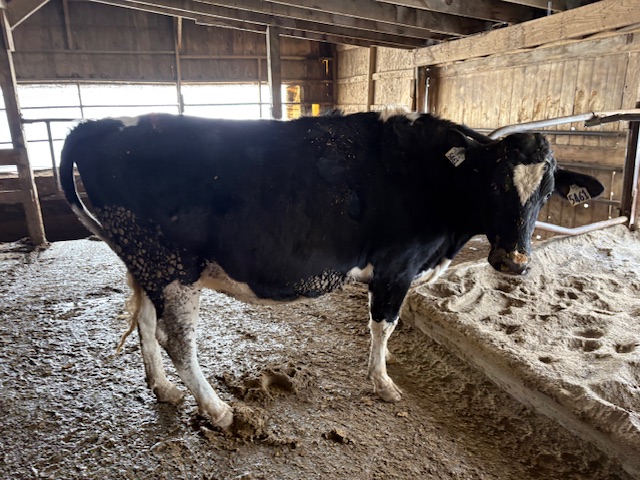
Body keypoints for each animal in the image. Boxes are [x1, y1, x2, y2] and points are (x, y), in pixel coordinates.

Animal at [59, 111, 604, 428]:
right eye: (492, 184)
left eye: (547, 190)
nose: (513, 262)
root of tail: (98, 124)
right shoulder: (396, 267)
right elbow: (383, 325)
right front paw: (382, 382)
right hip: (172, 264)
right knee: (178, 340)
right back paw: (218, 411)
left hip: (143, 261)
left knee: (146, 323)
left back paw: (165, 390)